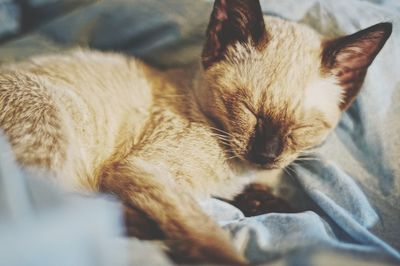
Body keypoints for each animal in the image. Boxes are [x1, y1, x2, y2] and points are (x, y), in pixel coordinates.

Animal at [0, 0, 390, 264]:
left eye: (302, 127)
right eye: (249, 110)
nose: (266, 154)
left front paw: (265, 200)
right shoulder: (147, 172)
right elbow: (205, 230)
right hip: (47, 113)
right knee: (53, 210)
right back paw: (141, 227)